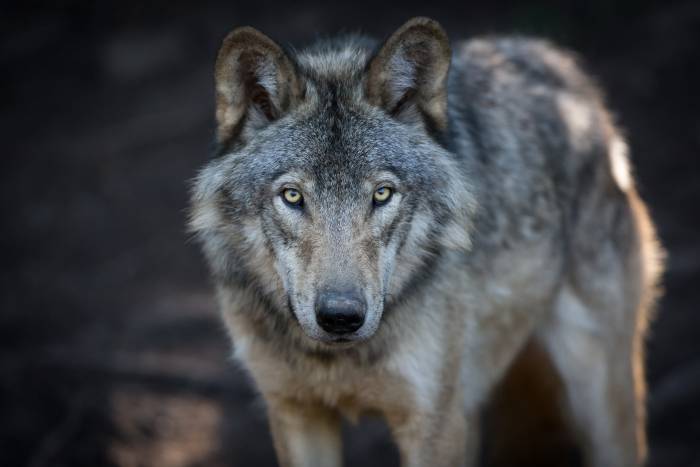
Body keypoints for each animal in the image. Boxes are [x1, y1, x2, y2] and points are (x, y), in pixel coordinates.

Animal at [189, 17, 664, 467]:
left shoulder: (434, 425)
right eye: (292, 196)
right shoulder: (296, 414)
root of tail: (558, 63)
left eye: (382, 194)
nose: (341, 317)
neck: (338, 361)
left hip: (598, 395)